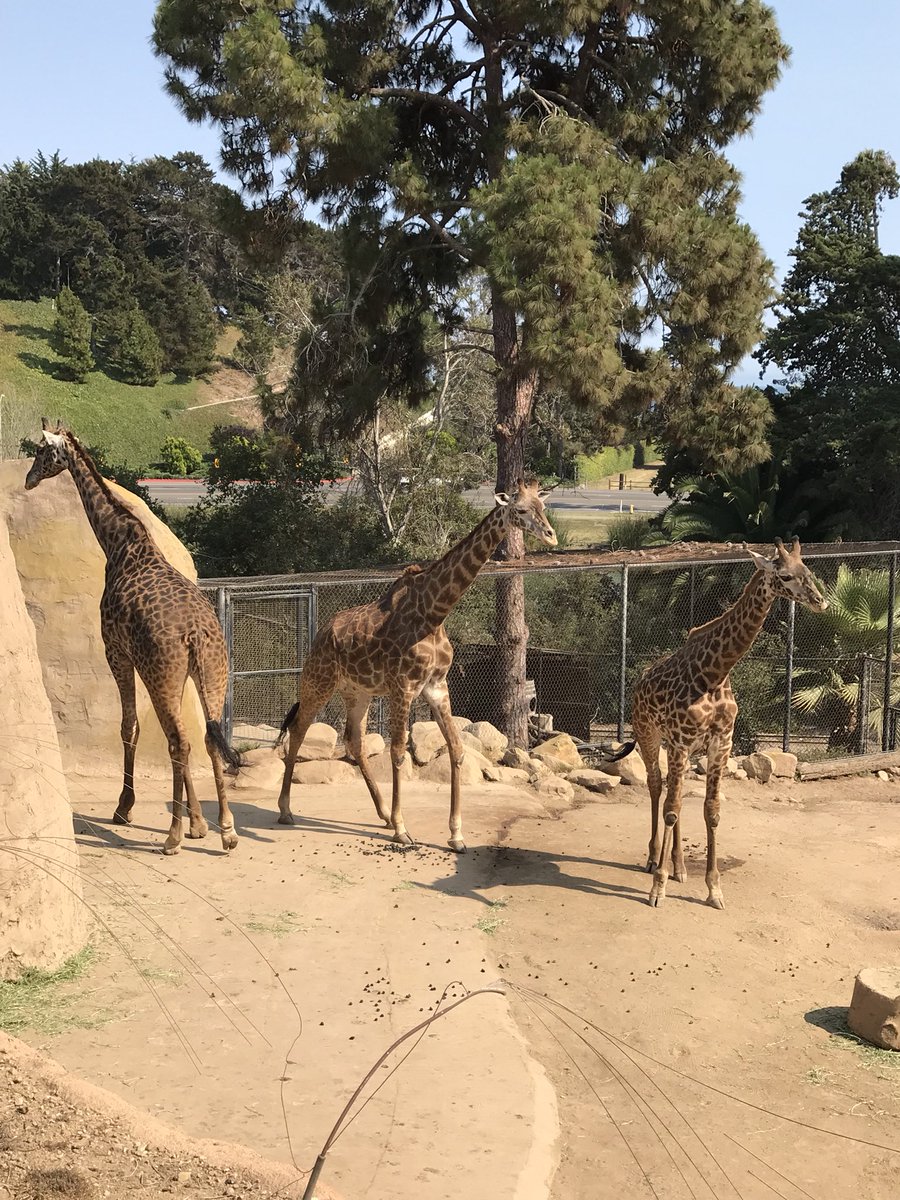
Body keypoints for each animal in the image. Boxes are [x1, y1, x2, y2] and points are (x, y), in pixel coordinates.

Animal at [25, 420, 241, 855]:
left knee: (180, 742)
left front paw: (125, 808)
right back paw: (226, 830)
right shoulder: (166, 672)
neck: (119, 543)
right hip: (211, 675)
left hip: (162, 673)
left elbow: (129, 727)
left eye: (41, 451)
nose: (28, 480)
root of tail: (196, 634)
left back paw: (172, 837)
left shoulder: (116, 652)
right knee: (205, 739)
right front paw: (199, 824)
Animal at [275, 478, 558, 851]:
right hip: (318, 681)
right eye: (521, 509)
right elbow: (397, 752)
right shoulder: (403, 686)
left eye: (544, 507)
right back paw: (286, 810)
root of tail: (322, 633)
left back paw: (381, 813)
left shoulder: (436, 686)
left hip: (358, 691)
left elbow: (456, 749)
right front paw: (402, 829)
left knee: (354, 740)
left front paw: (456, 834)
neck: (433, 613)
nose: (551, 536)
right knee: (298, 730)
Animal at [606, 538, 827, 910]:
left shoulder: (720, 741)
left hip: (681, 747)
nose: (820, 600)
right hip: (650, 734)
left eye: (807, 570)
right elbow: (671, 809)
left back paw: (680, 867)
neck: (714, 673)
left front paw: (713, 889)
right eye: (783, 574)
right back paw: (653, 859)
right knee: (657, 786)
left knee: (674, 791)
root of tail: (640, 680)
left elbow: (711, 811)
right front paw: (657, 888)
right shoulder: (681, 740)